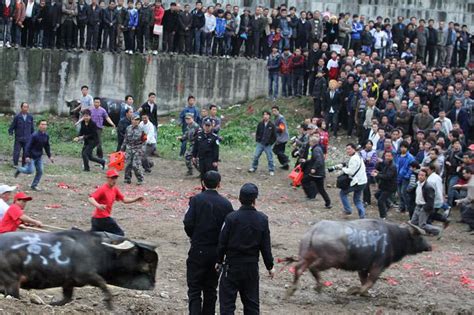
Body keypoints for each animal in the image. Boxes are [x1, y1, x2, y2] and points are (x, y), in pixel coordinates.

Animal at [0, 231, 159, 310]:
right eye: (134, 251)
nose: (152, 283)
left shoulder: (68, 283)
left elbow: (66, 298)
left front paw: (50, 304)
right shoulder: (87, 275)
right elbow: (103, 284)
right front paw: (109, 304)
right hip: (12, 281)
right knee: (12, 296)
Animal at [284, 220, 432, 298]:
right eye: (420, 237)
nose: (429, 246)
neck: (392, 237)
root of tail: (314, 230)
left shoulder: (363, 268)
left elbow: (363, 280)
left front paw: (364, 293)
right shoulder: (378, 266)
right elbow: (370, 282)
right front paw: (355, 291)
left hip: (305, 256)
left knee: (298, 268)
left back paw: (292, 289)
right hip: (330, 260)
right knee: (313, 268)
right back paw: (319, 286)